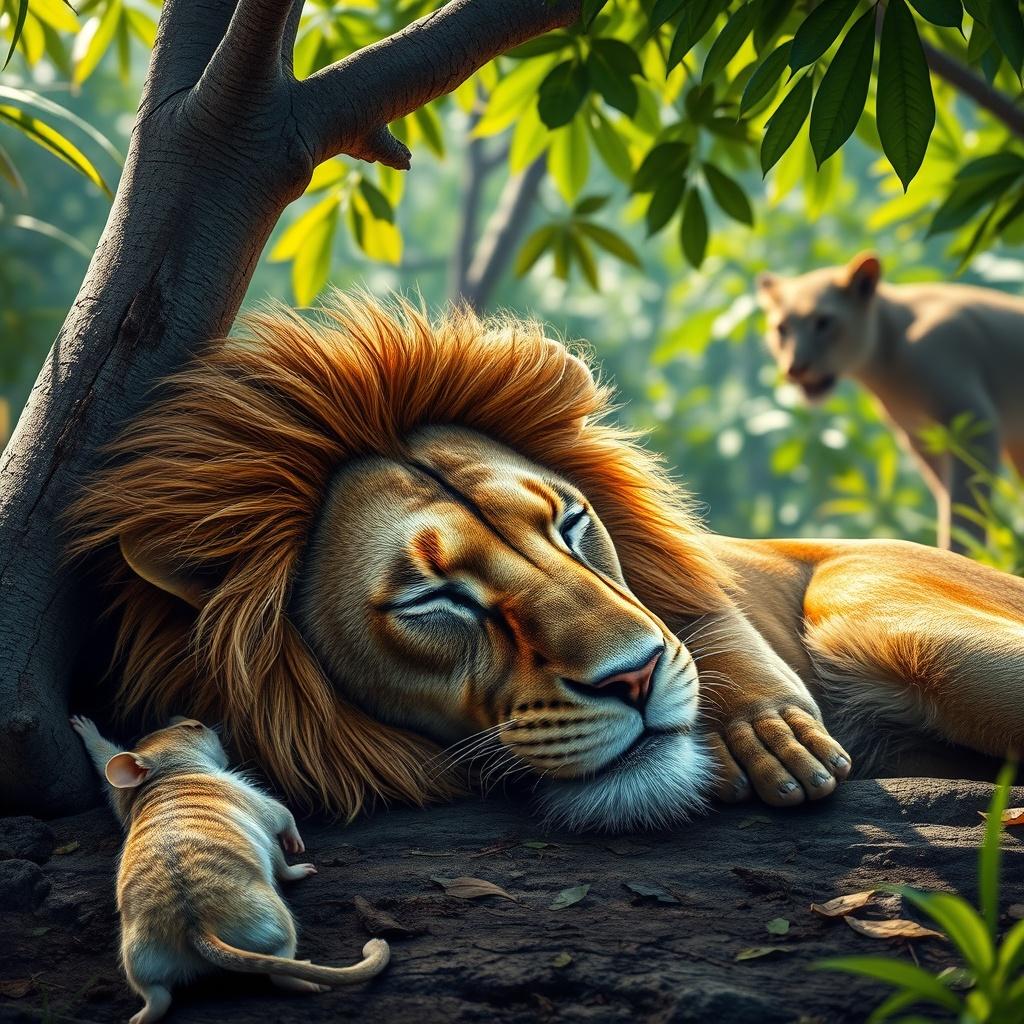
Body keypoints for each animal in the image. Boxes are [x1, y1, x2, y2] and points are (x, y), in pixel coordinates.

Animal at [70, 297, 1024, 832]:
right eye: (434, 600)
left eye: (569, 524)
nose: (634, 678)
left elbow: (707, 613)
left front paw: (768, 728)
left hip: (884, 615)